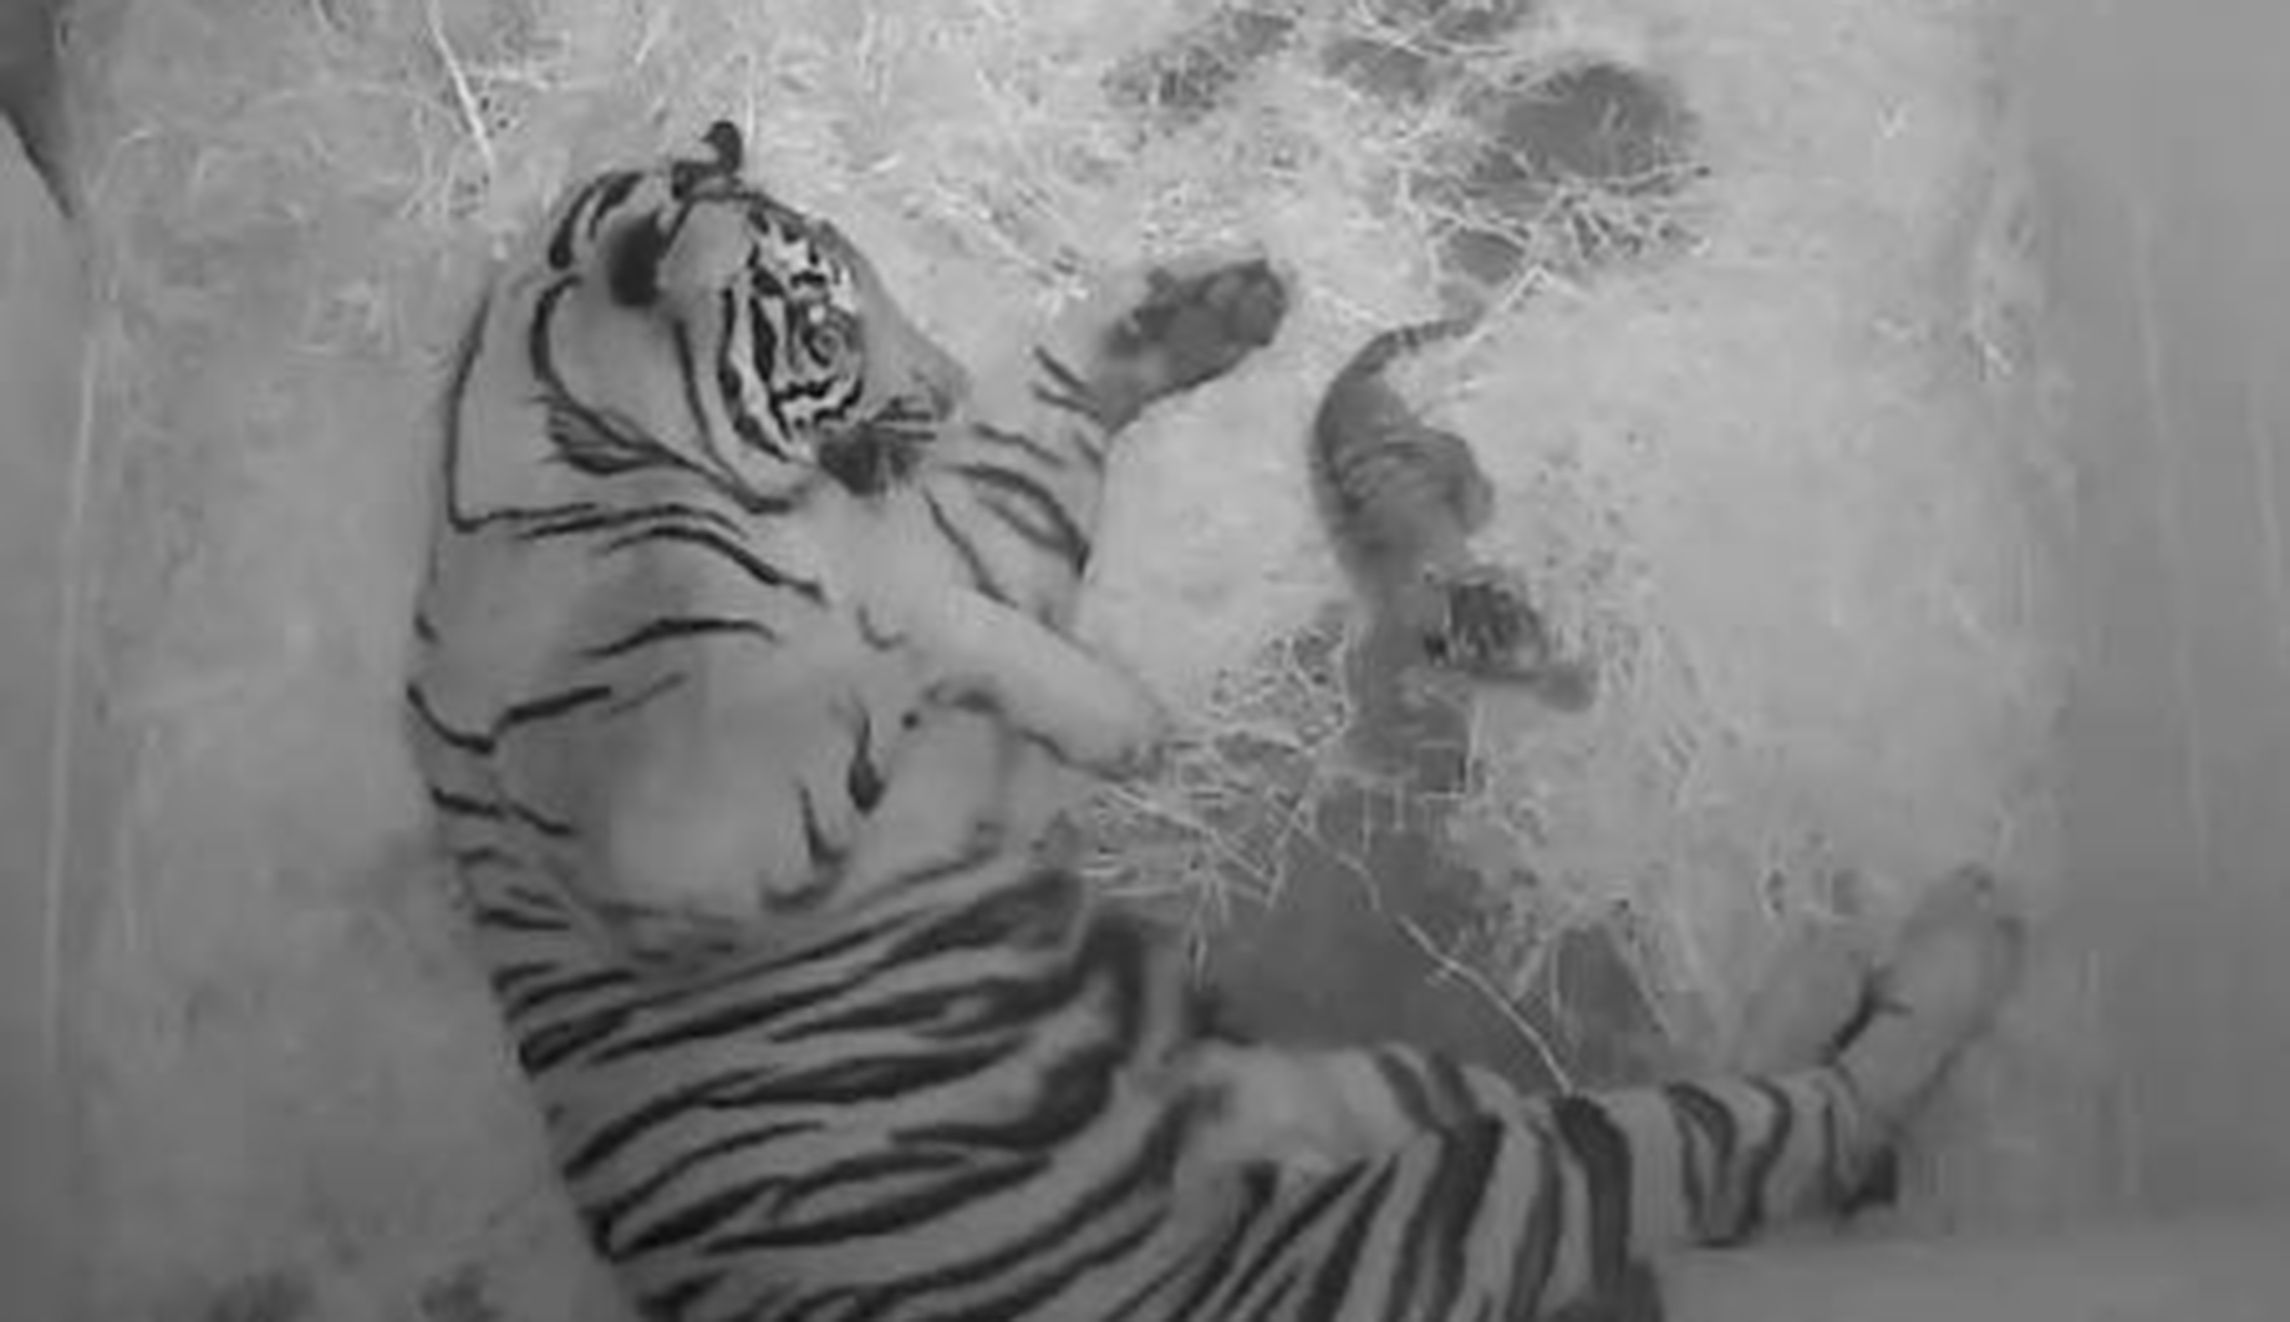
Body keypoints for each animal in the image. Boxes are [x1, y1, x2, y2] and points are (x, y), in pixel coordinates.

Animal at [410, 120, 1286, 962]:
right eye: (827, 334)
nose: (954, 386)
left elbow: (1025, 457)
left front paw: (1210, 309)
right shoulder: (692, 843)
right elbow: (907, 631)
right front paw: (1121, 723)